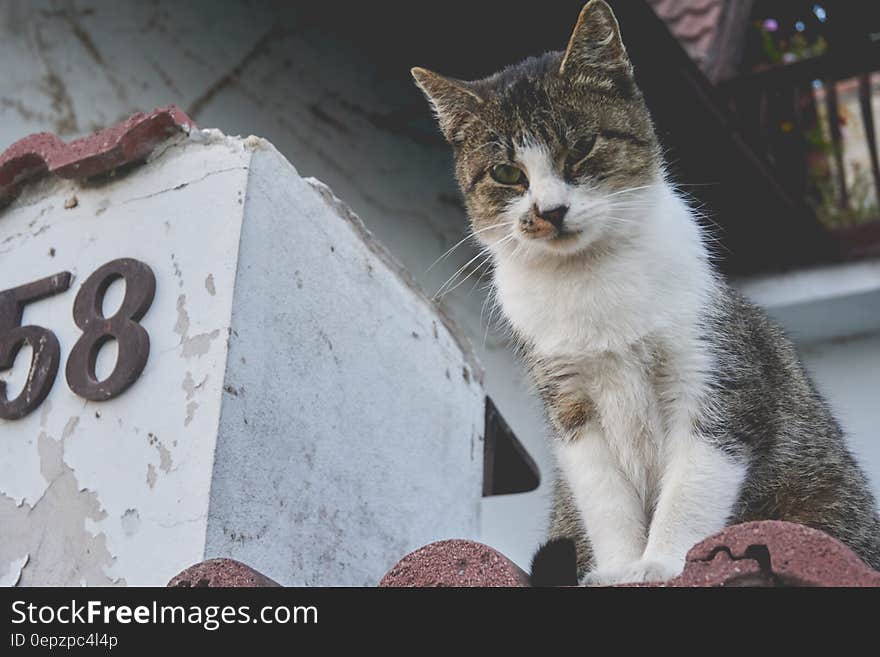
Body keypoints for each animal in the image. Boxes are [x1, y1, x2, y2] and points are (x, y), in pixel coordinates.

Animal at [412, 0, 880, 584]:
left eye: (582, 146)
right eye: (506, 172)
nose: (550, 211)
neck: (591, 279)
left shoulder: (713, 377)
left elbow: (693, 485)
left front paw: (661, 562)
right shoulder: (571, 403)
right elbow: (604, 498)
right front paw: (619, 568)